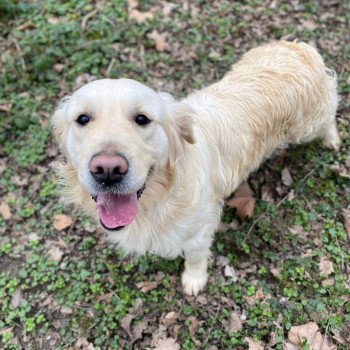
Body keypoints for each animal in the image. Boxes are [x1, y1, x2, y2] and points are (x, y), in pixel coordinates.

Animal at [52, 41, 340, 296]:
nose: (108, 169)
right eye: (83, 119)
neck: (158, 198)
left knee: (329, 117)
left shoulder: (199, 230)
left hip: (309, 126)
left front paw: (194, 279)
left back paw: (332, 139)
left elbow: (196, 256)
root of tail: (299, 48)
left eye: (142, 119)